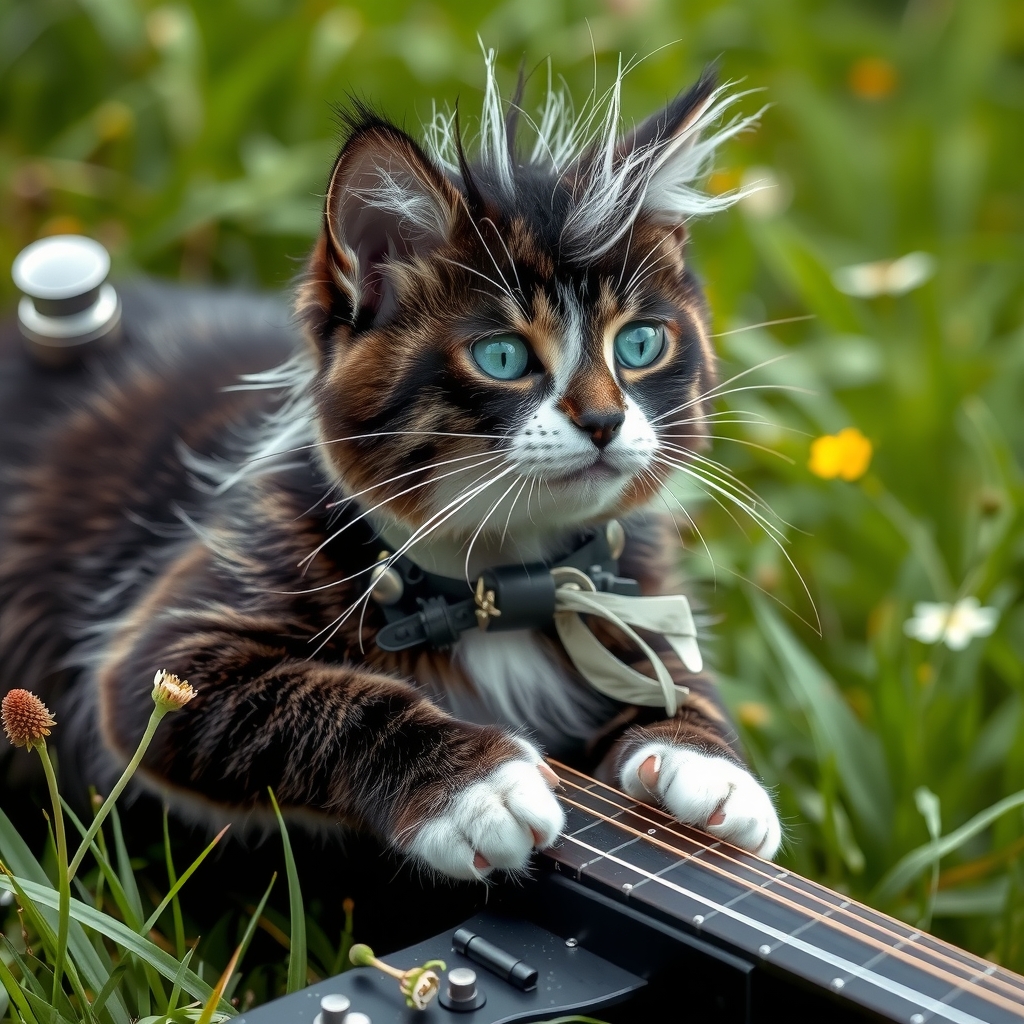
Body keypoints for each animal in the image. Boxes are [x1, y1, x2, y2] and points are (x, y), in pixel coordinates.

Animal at [2, 56, 782, 876]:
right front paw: (478, 787)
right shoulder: (169, 651)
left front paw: (710, 768)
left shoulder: (630, 580)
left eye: (639, 344)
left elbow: (681, 676)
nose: (604, 421)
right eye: (502, 358)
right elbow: (330, 700)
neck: (505, 576)